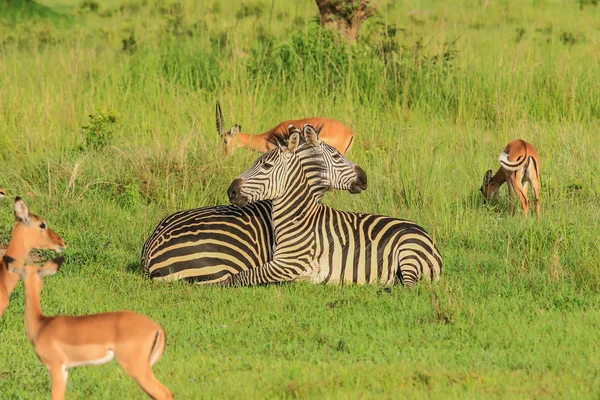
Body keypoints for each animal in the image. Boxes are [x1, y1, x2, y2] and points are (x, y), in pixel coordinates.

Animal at [4, 256, 172, 400]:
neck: (41, 324)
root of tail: (157, 328)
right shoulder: (65, 369)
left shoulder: (55, 366)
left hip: (136, 367)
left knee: (164, 393)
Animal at [227, 123, 442, 286]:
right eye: (337, 156)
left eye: (266, 166)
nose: (231, 191)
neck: (298, 217)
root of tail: (427, 236)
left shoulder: (289, 263)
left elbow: (245, 275)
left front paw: (219, 283)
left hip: (408, 253)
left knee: (409, 287)